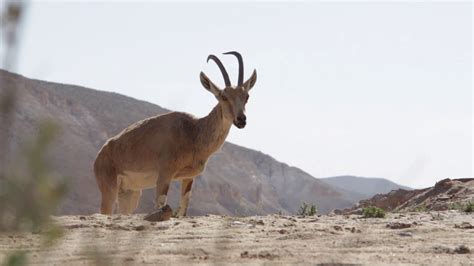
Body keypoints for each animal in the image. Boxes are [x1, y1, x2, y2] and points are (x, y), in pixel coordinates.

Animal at [94, 51, 258, 218]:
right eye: (224, 97)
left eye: (247, 96)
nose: (241, 120)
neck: (193, 133)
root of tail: (101, 154)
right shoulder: (164, 176)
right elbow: (161, 204)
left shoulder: (188, 177)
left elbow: (183, 209)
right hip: (109, 190)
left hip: (130, 193)